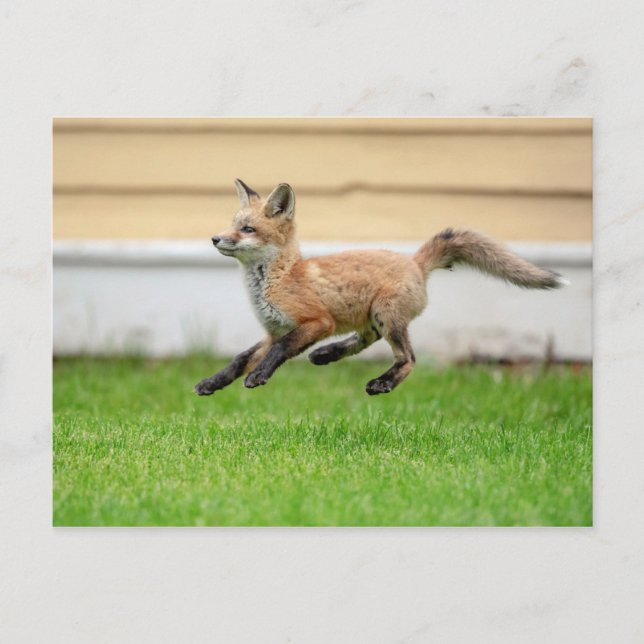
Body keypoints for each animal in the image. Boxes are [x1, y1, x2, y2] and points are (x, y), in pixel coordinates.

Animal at [195, 179, 566, 397]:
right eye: (232, 224)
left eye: (247, 229)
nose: (214, 238)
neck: (280, 278)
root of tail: (414, 262)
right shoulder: (275, 329)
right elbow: (240, 358)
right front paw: (213, 382)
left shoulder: (316, 322)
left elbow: (279, 352)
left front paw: (259, 376)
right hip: (374, 316)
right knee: (367, 339)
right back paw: (327, 354)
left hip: (387, 316)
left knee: (408, 359)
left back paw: (382, 382)